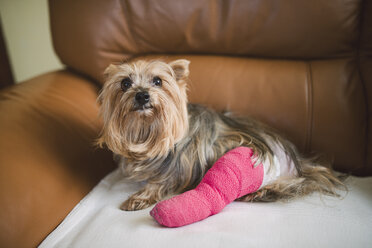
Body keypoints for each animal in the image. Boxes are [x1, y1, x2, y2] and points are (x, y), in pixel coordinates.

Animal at [96, 59, 346, 210]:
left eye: (157, 81)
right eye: (125, 83)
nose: (142, 95)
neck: (146, 129)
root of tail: (299, 160)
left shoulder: (182, 163)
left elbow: (162, 180)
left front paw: (140, 197)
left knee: (299, 182)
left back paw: (262, 192)